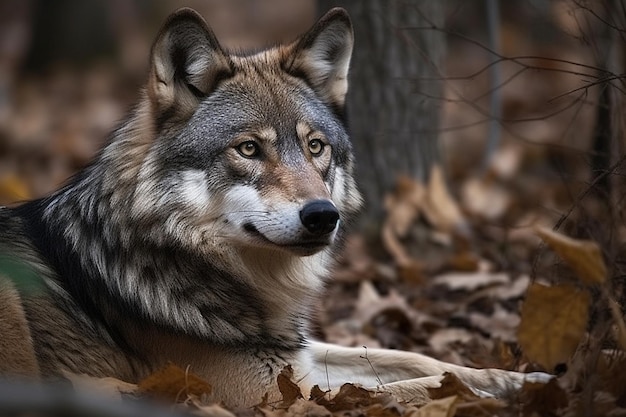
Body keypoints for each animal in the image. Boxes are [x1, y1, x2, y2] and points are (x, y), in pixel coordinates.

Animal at [0, 8, 544, 408]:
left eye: (315, 146)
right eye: (248, 149)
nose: (323, 215)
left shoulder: (292, 359)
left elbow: (419, 362)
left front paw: (523, 377)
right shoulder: (273, 392)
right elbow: (412, 387)